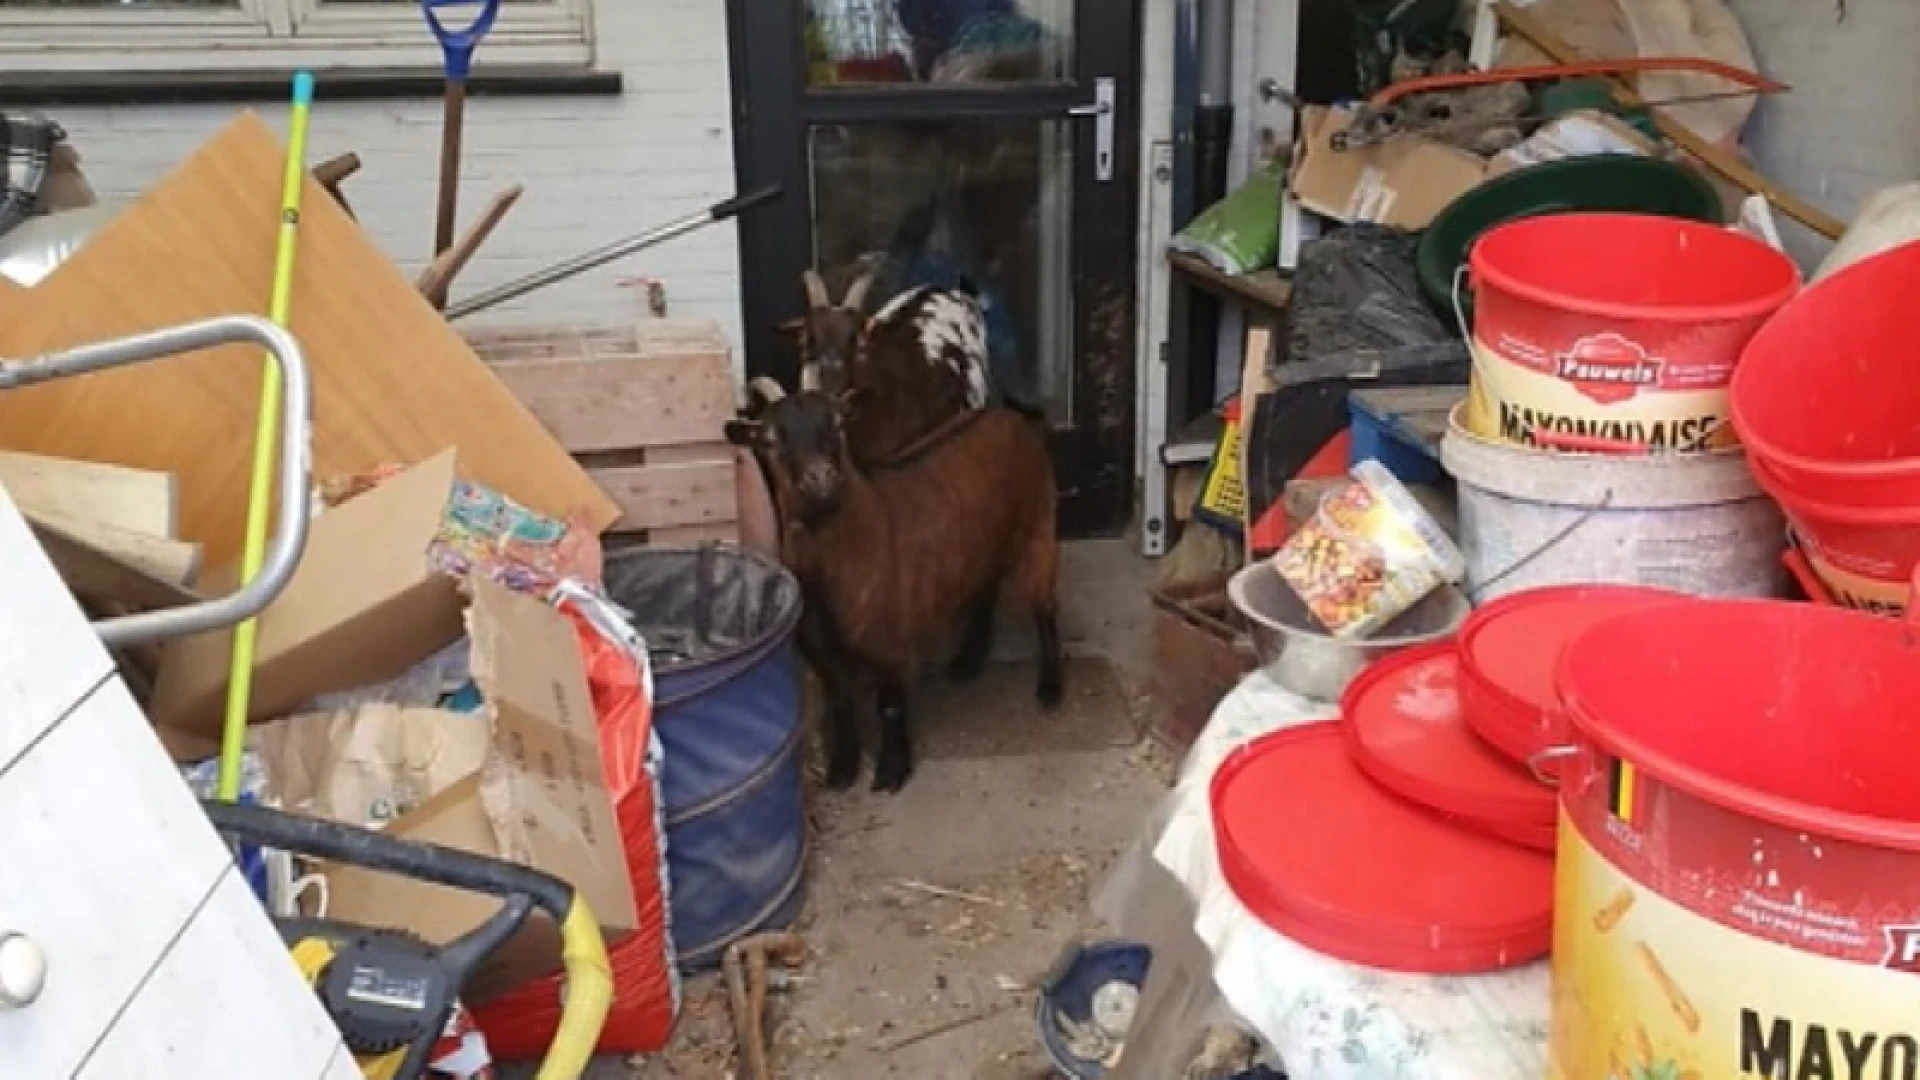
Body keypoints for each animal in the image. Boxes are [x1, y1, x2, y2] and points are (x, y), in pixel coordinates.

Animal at [729, 382, 1067, 787]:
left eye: (838, 422)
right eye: (770, 438)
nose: (821, 478)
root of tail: (1011, 415)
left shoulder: (888, 644)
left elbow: (889, 707)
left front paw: (892, 770)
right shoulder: (822, 653)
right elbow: (841, 703)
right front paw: (842, 768)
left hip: (1038, 527)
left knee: (1044, 607)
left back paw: (1050, 687)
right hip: (982, 545)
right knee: (984, 590)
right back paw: (967, 662)